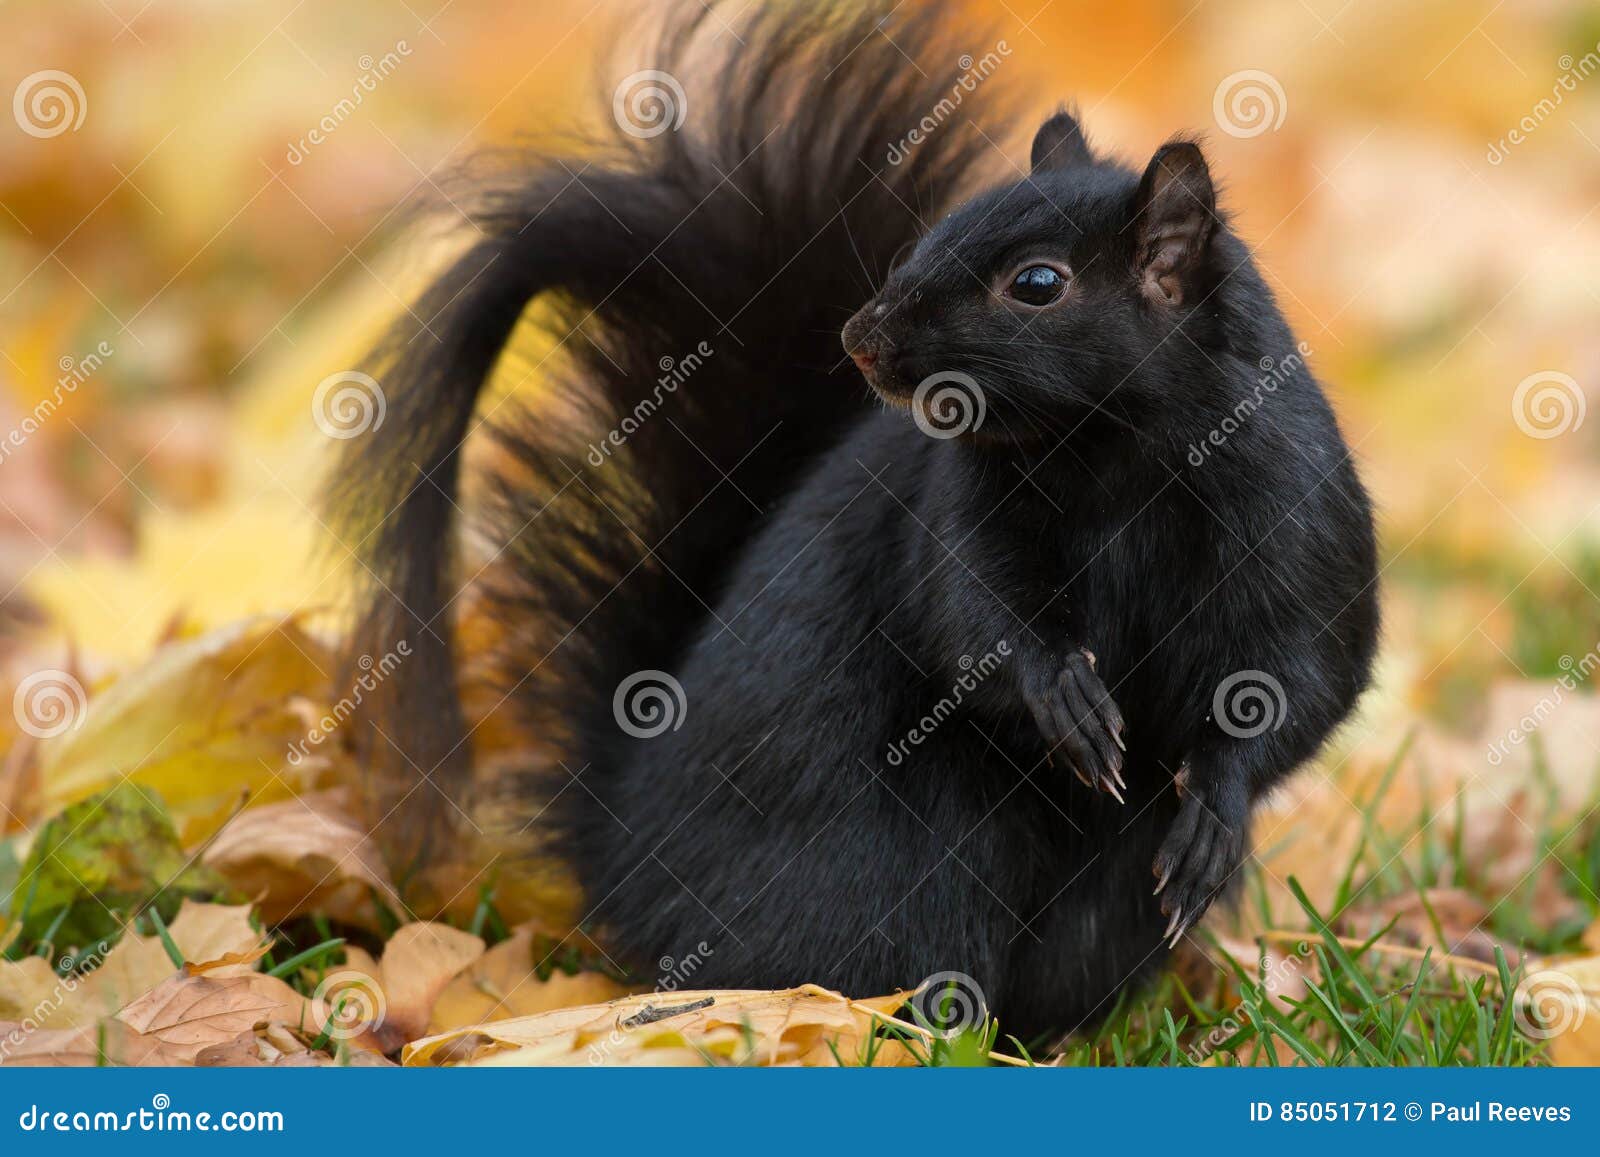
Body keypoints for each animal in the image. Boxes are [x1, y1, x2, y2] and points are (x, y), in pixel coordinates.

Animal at [332, 0, 1379, 1041]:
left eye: (1038, 284)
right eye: (930, 237)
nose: (861, 338)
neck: (1112, 450)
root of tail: (624, 852)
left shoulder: (1297, 513)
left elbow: (1298, 678)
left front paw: (1214, 814)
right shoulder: (960, 513)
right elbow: (977, 620)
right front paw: (1067, 698)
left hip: (1097, 913)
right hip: (888, 871)